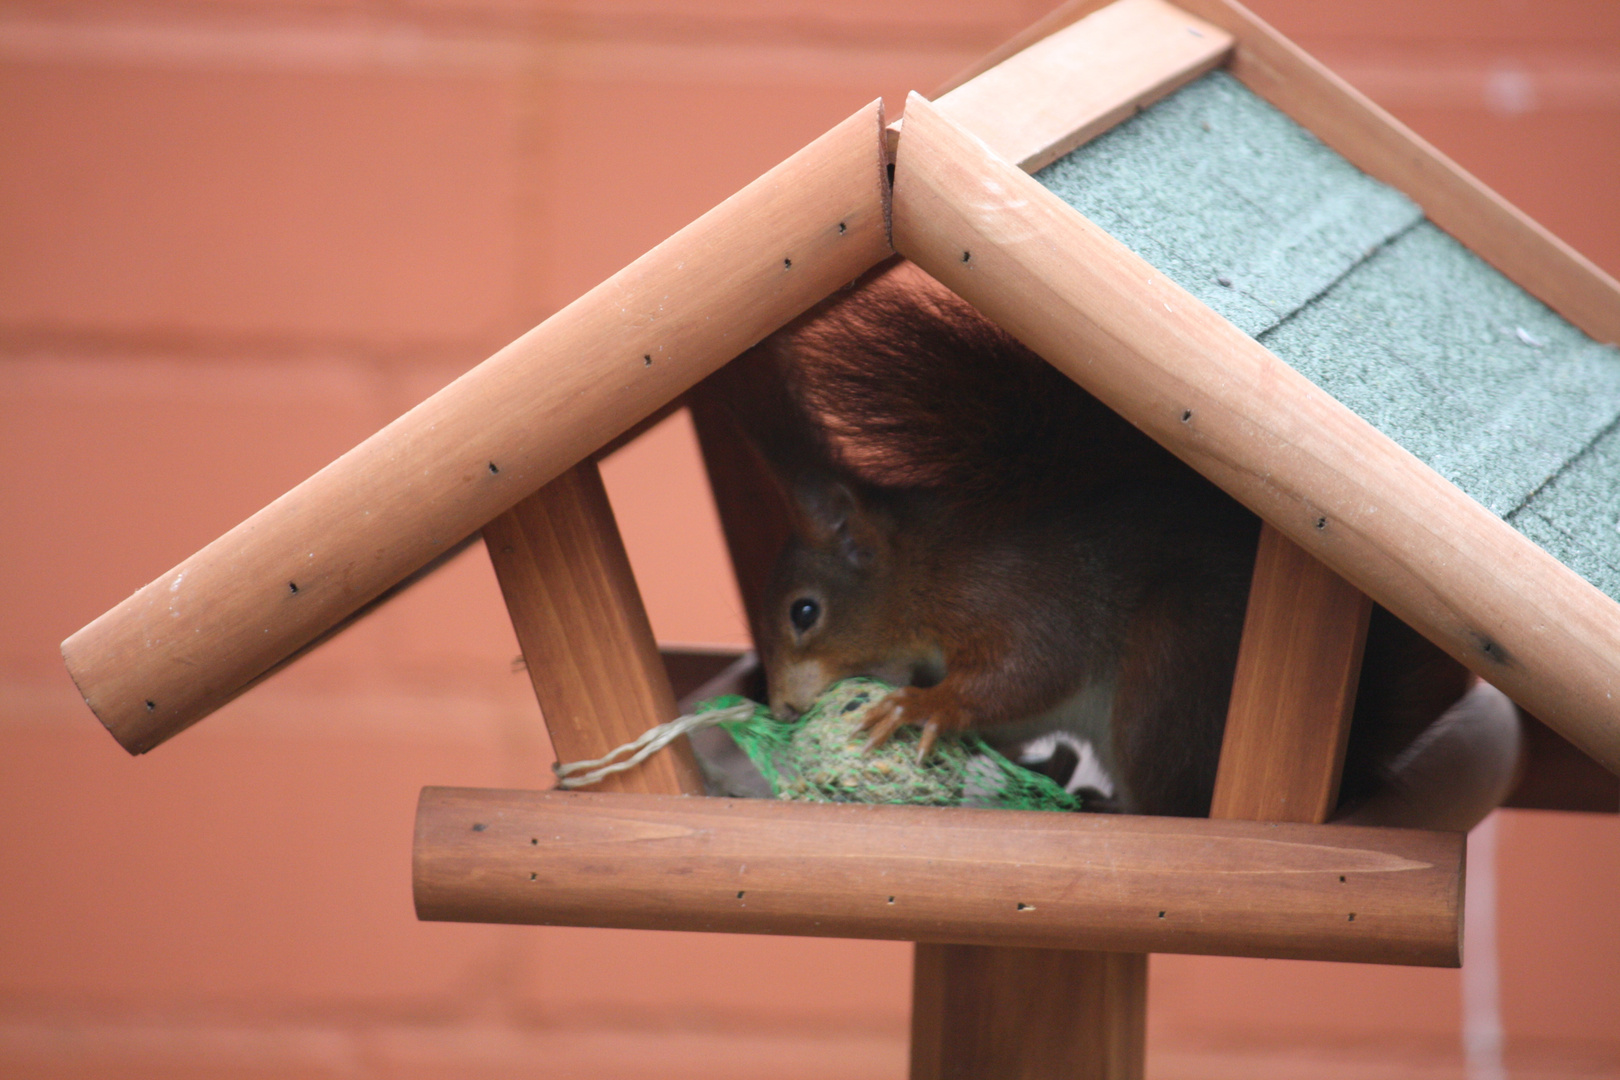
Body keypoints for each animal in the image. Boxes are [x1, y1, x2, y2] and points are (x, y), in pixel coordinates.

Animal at [709, 263, 1470, 819]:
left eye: (804, 613)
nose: (783, 708)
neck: (924, 570)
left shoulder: (1010, 591)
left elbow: (1031, 667)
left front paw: (924, 706)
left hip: (1170, 671)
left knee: (1171, 803)